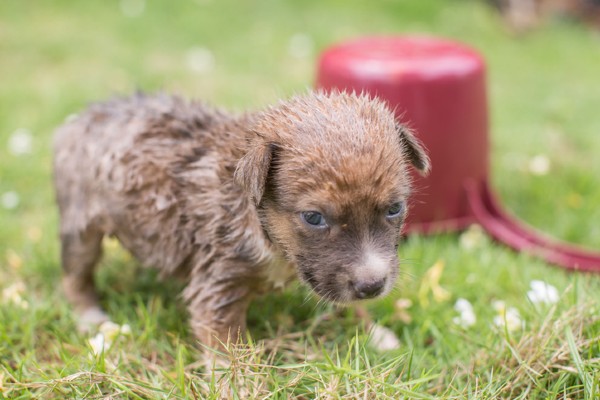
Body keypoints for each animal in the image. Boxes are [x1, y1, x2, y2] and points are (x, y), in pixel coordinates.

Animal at [51, 92, 426, 348]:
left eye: (394, 208)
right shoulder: (218, 285)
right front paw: (239, 385)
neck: (261, 226)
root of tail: (87, 114)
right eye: (314, 218)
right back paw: (90, 315)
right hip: (80, 227)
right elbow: (231, 351)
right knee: (75, 276)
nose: (372, 286)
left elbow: (341, 299)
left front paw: (374, 332)